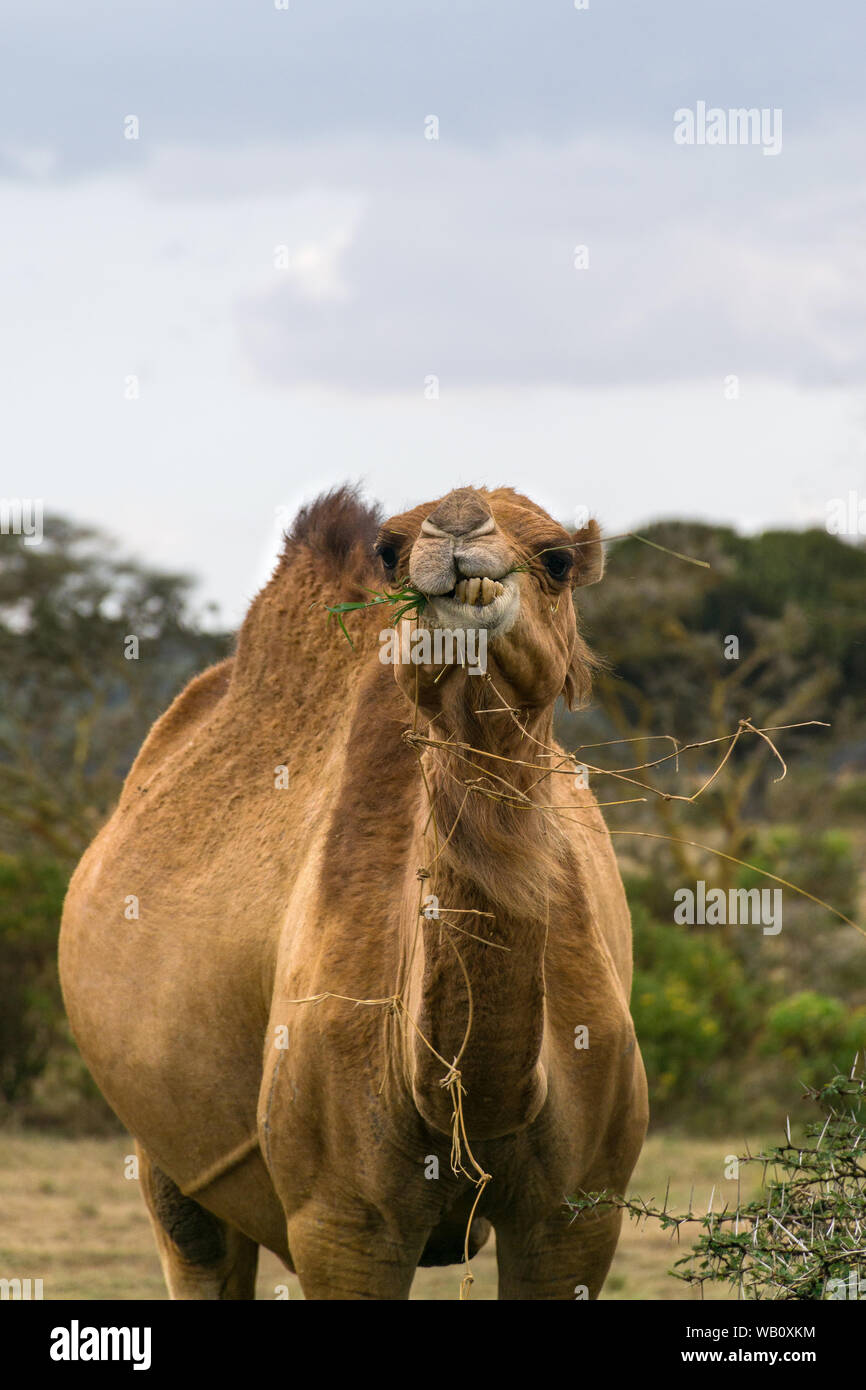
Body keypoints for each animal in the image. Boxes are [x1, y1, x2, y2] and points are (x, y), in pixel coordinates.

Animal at [59, 483, 644, 1295]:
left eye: (556, 559)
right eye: (391, 551)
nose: (457, 529)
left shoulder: (579, 1213)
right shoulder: (341, 1219)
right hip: (165, 1149)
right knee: (194, 1237)